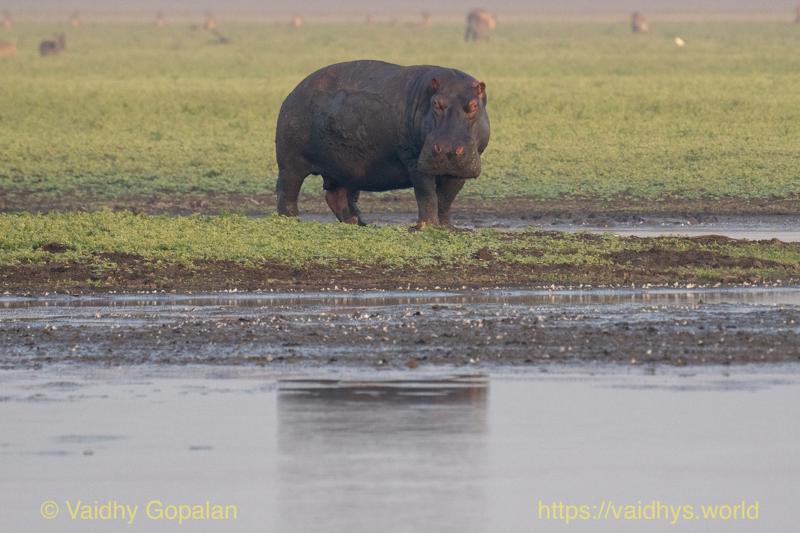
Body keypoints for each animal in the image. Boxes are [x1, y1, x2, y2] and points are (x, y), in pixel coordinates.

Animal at [275, 60, 490, 227]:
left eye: (473, 105)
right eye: (436, 103)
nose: (446, 149)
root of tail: (294, 91)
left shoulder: (459, 170)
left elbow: (446, 198)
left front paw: (447, 227)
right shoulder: (414, 160)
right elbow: (426, 195)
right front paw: (426, 227)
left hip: (346, 168)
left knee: (337, 195)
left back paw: (358, 223)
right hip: (291, 163)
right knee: (287, 191)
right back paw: (291, 220)